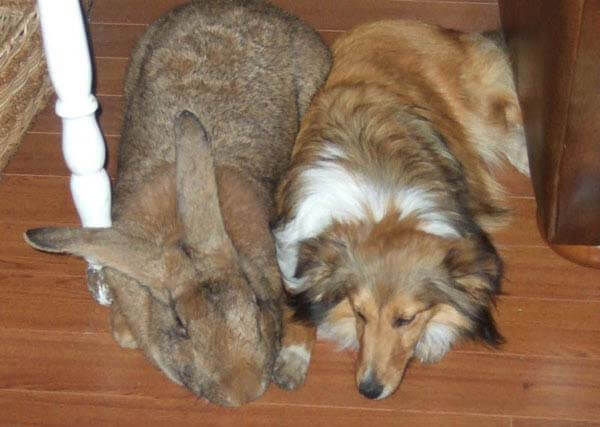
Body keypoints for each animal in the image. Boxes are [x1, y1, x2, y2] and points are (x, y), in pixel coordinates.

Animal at [272, 20, 528, 402]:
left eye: (405, 319)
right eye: (359, 313)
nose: (368, 390)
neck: (382, 208)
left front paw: (433, 340)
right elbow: (298, 301)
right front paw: (293, 357)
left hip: (483, 113)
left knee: (509, 120)